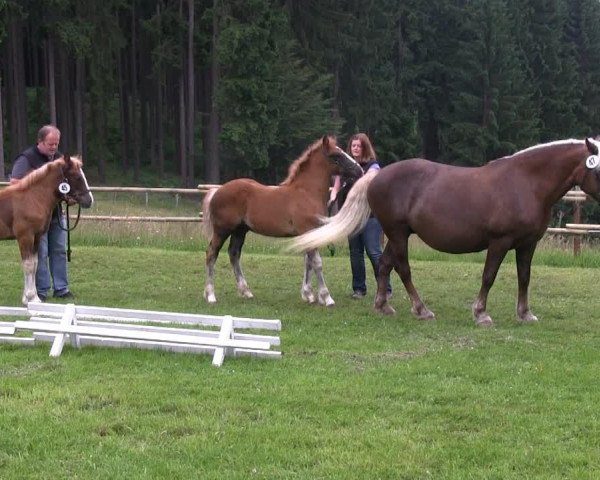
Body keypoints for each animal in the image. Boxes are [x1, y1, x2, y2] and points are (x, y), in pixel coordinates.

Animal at [0, 156, 94, 306]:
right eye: (77, 177)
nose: (89, 201)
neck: (32, 198)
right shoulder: (25, 237)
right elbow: (28, 265)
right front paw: (31, 297)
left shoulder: (37, 237)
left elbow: (35, 264)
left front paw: (30, 298)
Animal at [202, 136, 364, 304]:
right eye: (336, 155)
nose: (359, 170)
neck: (306, 193)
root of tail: (216, 191)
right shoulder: (307, 229)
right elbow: (317, 263)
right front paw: (326, 298)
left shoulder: (310, 233)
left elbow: (308, 263)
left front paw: (309, 295)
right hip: (222, 230)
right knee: (211, 254)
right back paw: (211, 295)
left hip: (240, 230)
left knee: (234, 254)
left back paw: (246, 291)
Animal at [290, 139, 600, 326]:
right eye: (598, 169)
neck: (525, 183)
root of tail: (376, 175)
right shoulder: (499, 243)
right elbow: (489, 276)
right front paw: (481, 313)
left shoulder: (527, 245)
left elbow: (525, 277)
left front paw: (525, 313)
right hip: (398, 234)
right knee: (402, 268)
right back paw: (421, 309)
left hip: (396, 234)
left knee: (385, 265)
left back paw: (382, 306)